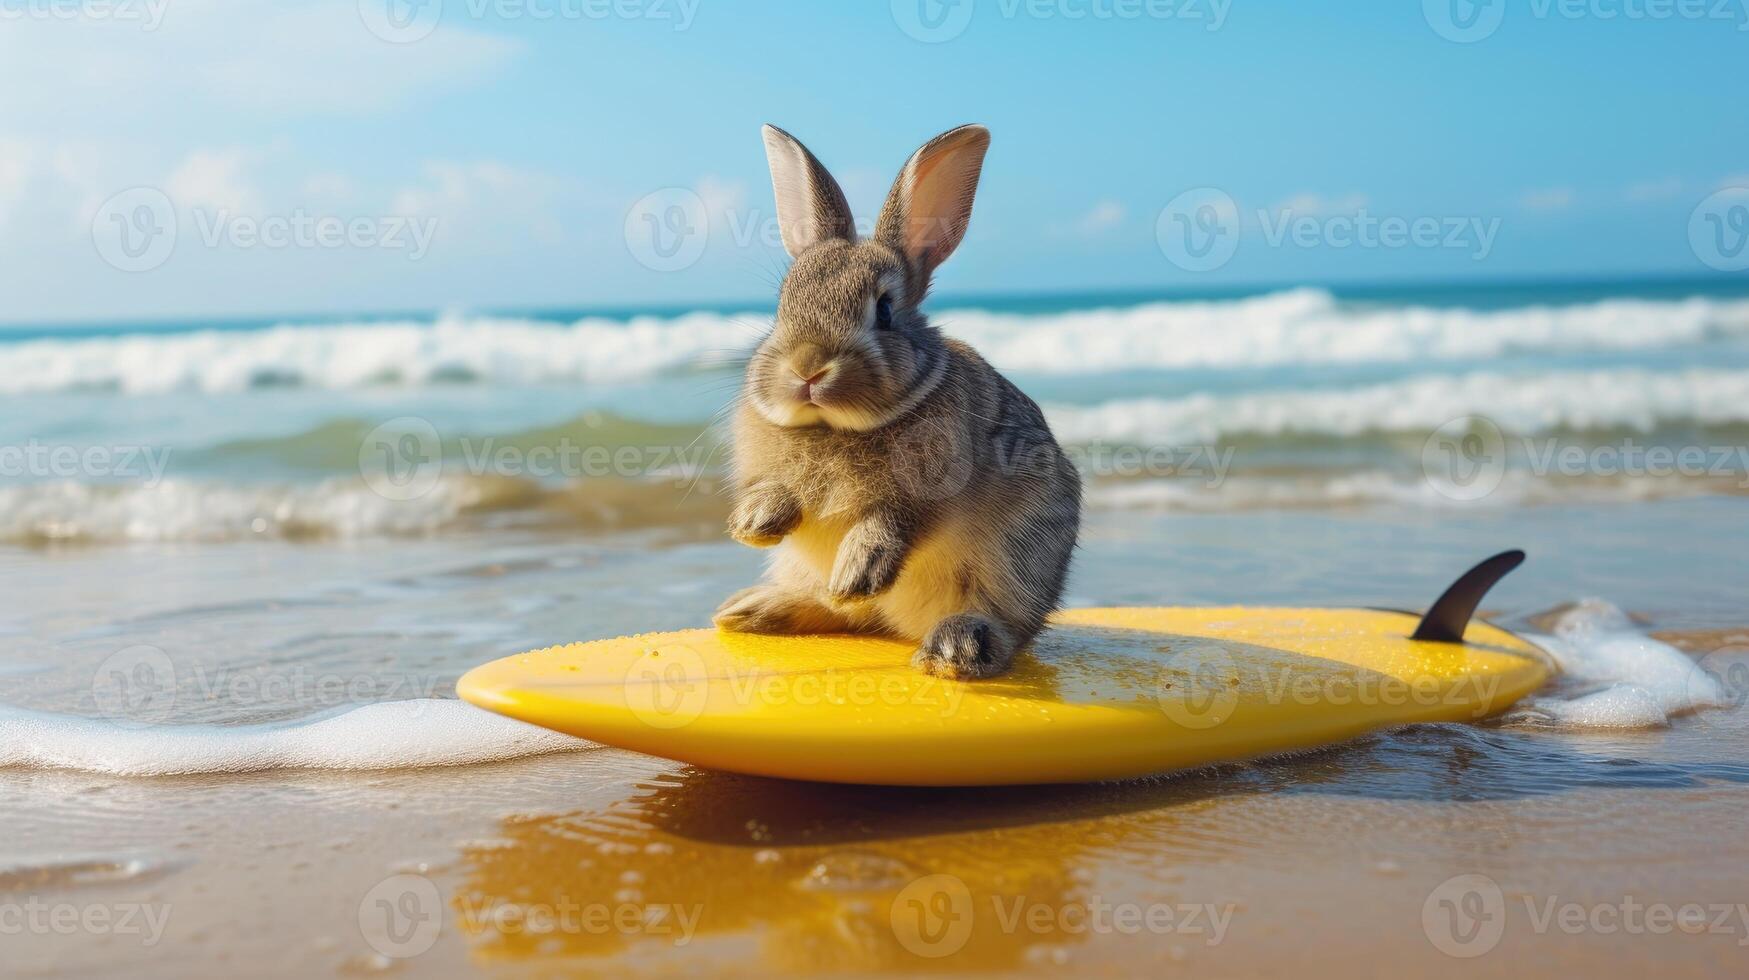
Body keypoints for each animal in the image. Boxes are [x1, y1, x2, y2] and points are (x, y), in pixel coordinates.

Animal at [710, 124, 1077, 682]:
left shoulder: (930, 495)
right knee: (840, 612)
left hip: (1019, 556)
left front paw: (857, 571)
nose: (807, 367)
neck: (837, 428)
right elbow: (778, 490)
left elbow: (892, 521)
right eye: (783, 303)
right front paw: (756, 523)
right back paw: (756, 609)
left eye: (883, 311)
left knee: (1002, 624)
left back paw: (955, 647)